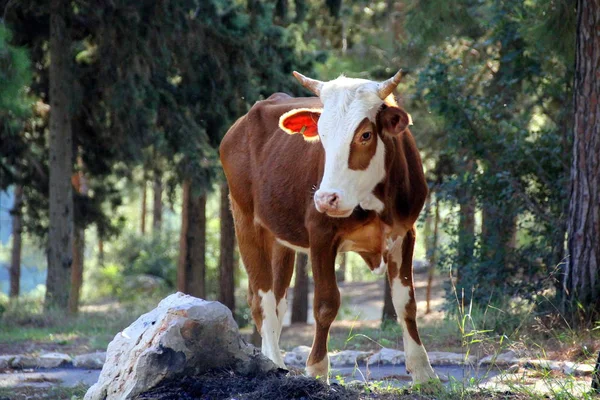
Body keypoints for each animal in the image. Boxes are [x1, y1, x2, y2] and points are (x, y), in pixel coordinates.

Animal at [220, 70, 436, 382]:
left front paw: (423, 371)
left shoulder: (405, 232)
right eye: (321, 135)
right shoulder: (320, 235)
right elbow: (325, 304)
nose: (325, 198)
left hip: (280, 238)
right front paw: (317, 370)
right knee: (262, 301)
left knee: (278, 299)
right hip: (246, 221)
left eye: (365, 134)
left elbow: (406, 302)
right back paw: (273, 363)